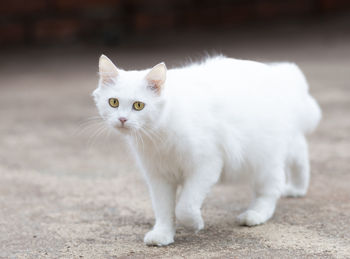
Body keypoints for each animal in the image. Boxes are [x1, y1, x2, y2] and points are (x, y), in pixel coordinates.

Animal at [92, 54, 320, 246]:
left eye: (138, 105)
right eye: (113, 102)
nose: (122, 119)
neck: (158, 136)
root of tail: (283, 75)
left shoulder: (205, 166)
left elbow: (184, 206)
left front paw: (195, 224)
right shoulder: (159, 177)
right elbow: (164, 210)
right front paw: (163, 235)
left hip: (263, 161)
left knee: (271, 190)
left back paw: (254, 214)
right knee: (300, 154)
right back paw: (298, 188)